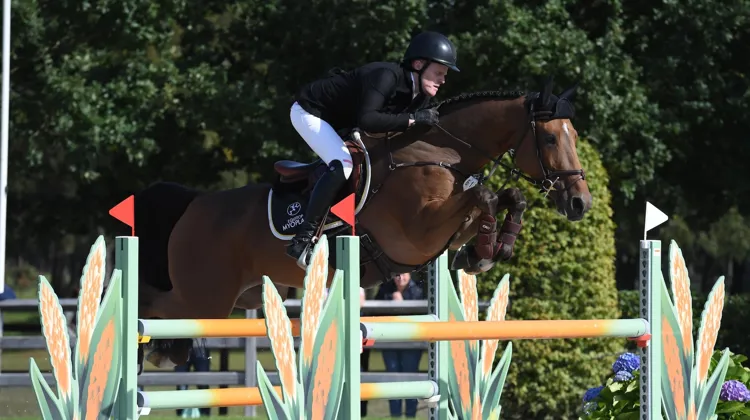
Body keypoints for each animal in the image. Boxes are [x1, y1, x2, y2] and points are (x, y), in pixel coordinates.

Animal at [132, 76, 592, 369]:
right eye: (550, 137)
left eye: (574, 136)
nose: (580, 203)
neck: (438, 152)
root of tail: (195, 203)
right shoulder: (415, 234)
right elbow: (486, 196)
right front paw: (484, 251)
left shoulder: (442, 231)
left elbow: (503, 198)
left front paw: (489, 249)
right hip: (203, 298)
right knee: (154, 307)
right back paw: (143, 345)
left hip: (232, 297)